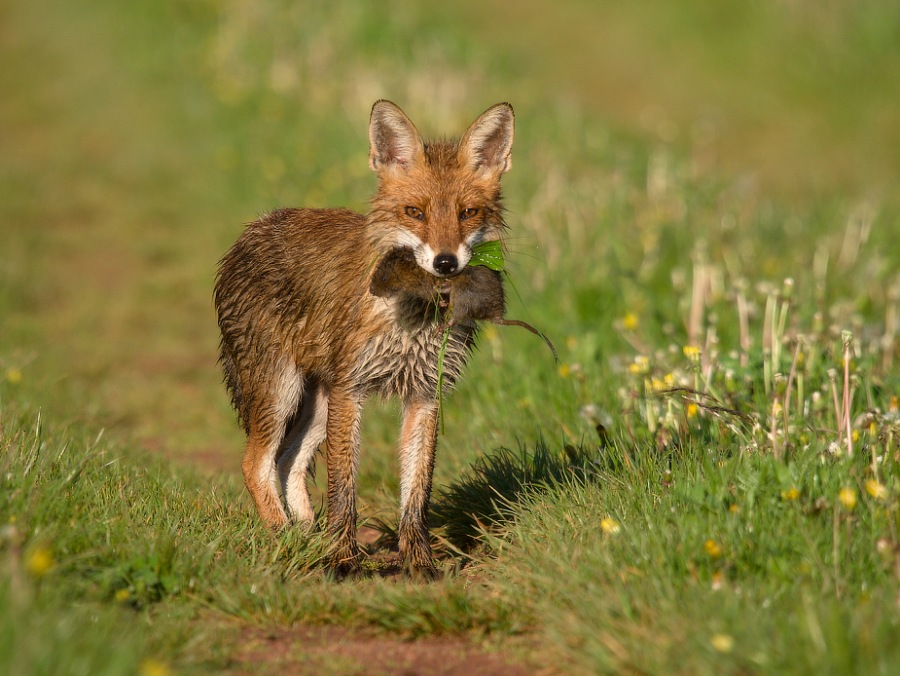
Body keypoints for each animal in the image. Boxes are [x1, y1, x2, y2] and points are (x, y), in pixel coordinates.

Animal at [214, 100, 515, 578]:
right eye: (415, 212)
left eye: (467, 213)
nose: (445, 262)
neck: (412, 322)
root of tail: (250, 231)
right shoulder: (351, 389)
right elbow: (344, 490)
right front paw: (343, 560)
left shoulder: (425, 394)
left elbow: (417, 492)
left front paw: (418, 562)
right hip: (282, 391)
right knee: (254, 464)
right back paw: (285, 539)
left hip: (317, 404)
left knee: (288, 462)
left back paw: (305, 537)